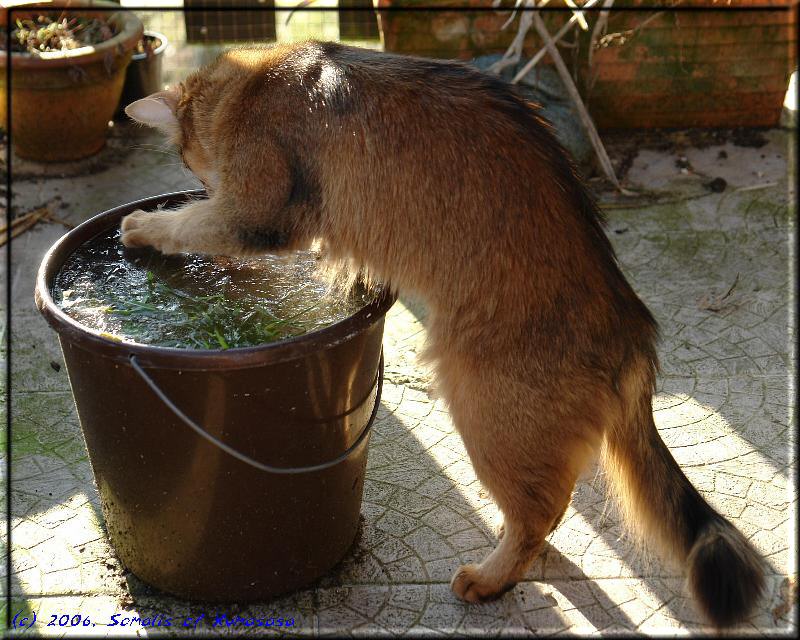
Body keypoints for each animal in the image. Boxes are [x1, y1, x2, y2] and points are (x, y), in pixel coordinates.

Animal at [122, 42, 764, 628]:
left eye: (190, 163)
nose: (201, 178)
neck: (254, 83)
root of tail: (630, 326)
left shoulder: (258, 212)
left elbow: (190, 225)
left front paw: (143, 226)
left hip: (483, 408)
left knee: (539, 511)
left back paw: (490, 578)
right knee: (546, 508)